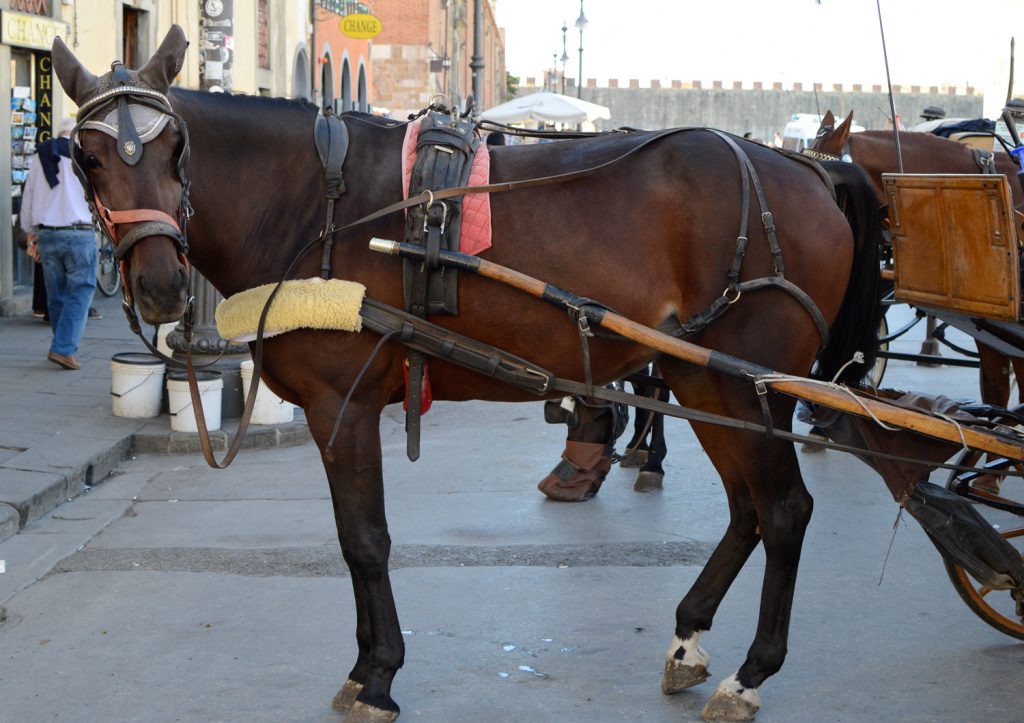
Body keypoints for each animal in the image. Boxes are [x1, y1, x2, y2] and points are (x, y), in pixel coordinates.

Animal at [54, 28, 880, 720]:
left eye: (176, 149)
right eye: (88, 158)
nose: (163, 285)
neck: (315, 205)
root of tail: (806, 168)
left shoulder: (342, 403)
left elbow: (364, 538)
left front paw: (378, 674)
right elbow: (354, 537)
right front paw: (369, 665)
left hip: (748, 382)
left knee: (784, 511)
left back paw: (752, 672)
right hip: (704, 378)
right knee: (746, 509)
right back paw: (689, 636)